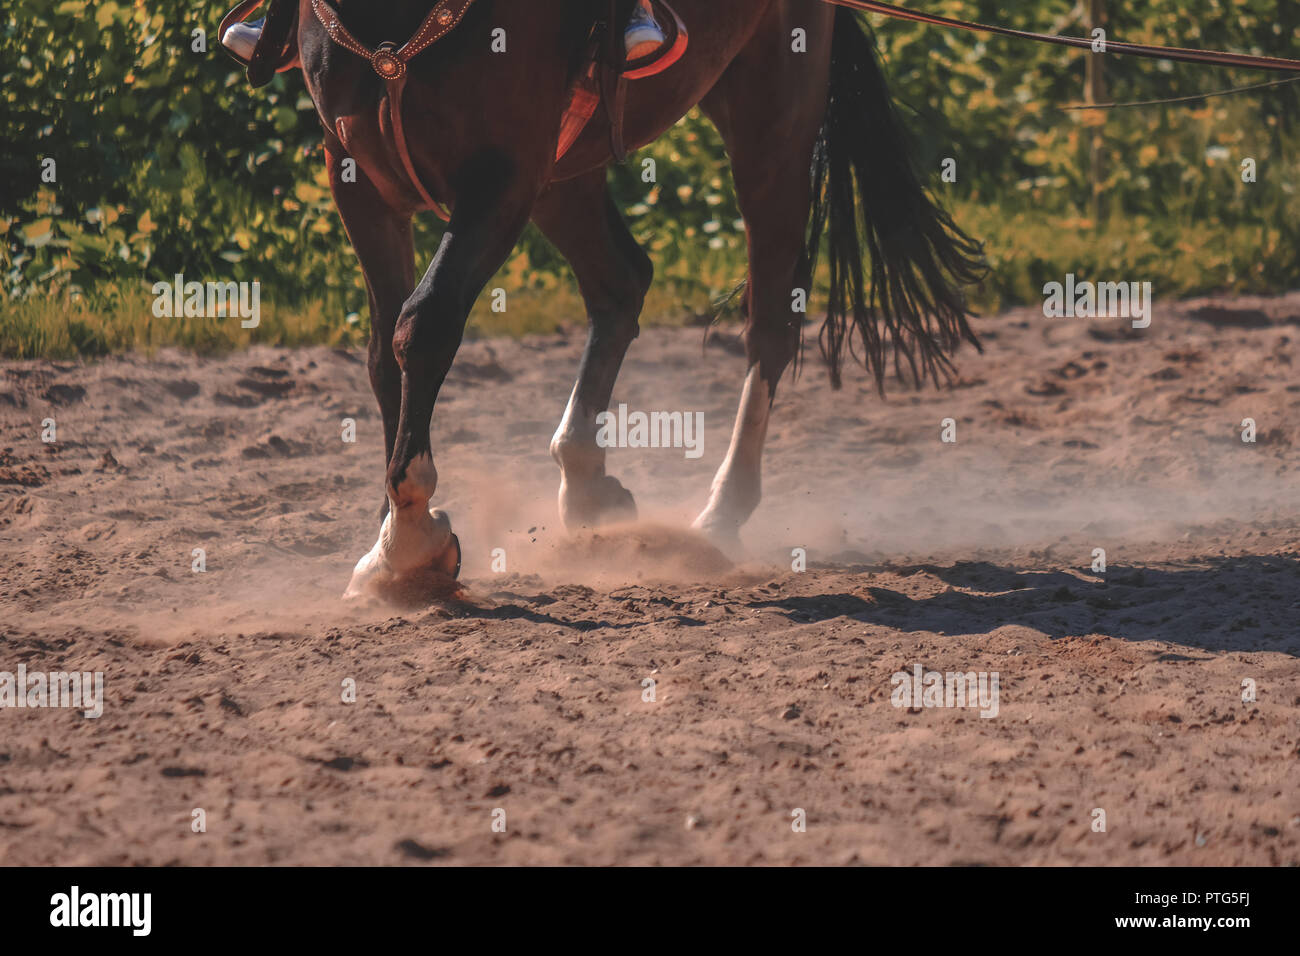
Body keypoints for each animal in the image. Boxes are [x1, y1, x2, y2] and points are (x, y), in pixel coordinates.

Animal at [292, 0, 982, 600]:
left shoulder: (503, 173)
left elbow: (424, 323)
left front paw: (407, 542)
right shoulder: (355, 174)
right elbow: (384, 353)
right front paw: (388, 541)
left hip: (771, 116)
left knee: (768, 326)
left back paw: (719, 513)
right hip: (566, 169)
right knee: (621, 281)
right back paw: (586, 483)